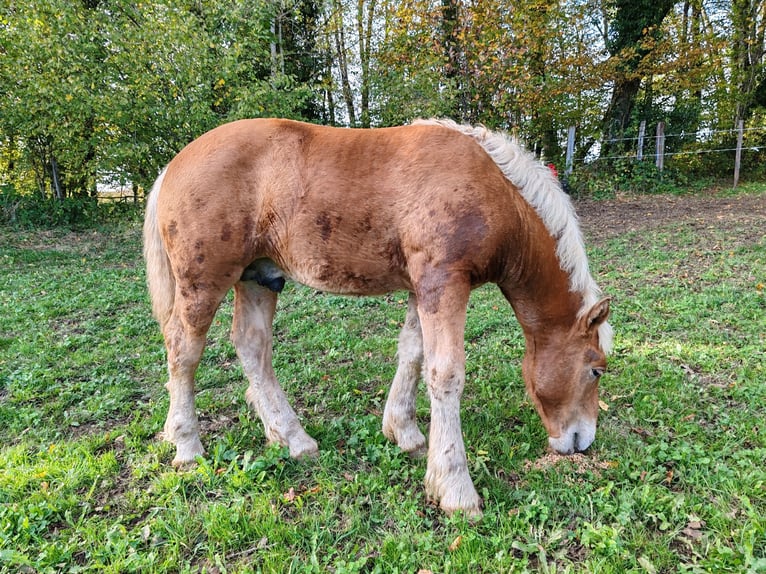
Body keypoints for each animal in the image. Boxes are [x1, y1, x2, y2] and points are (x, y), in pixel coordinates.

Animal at [142, 117, 612, 516]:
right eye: (596, 370)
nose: (582, 440)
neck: (492, 189)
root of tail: (172, 166)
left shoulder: (422, 288)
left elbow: (413, 355)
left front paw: (404, 432)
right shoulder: (443, 283)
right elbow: (446, 375)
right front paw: (455, 489)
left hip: (258, 278)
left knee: (251, 347)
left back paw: (292, 438)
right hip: (203, 283)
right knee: (184, 353)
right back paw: (187, 445)